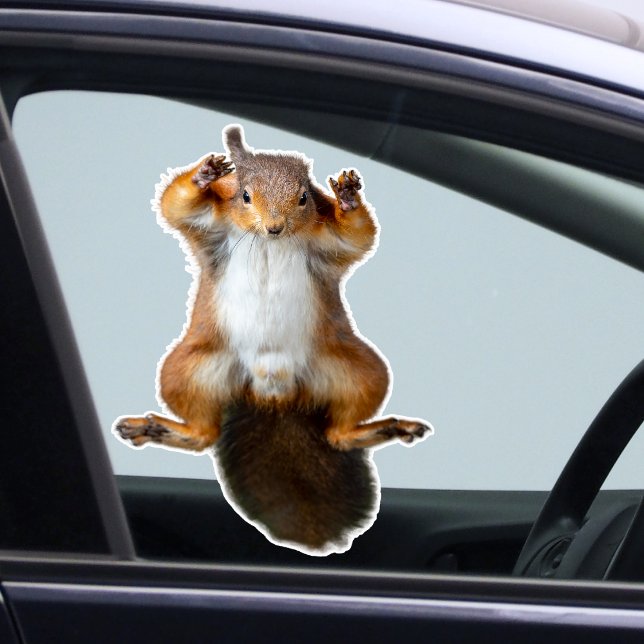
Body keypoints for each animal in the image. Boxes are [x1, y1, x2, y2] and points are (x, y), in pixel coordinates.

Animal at [115, 125, 432, 555]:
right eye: (245, 195)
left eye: (304, 197)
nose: (275, 227)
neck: (268, 242)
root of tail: (274, 399)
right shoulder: (210, 224)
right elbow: (177, 204)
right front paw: (204, 174)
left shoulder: (328, 240)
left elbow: (356, 235)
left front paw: (349, 197)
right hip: (190, 369)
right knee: (204, 433)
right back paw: (155, 428)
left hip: (356, 371)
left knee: (337, 434)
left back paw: (387, 428)